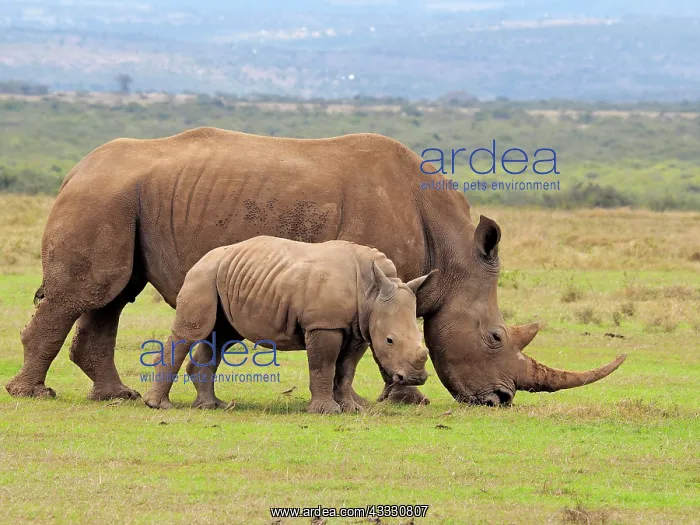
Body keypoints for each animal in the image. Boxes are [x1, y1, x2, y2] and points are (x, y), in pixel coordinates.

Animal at [142, 237, 435, 412]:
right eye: (390, 340)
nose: (416, 378)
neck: (371, 290)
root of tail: (203, 257)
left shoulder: (358, 328)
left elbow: (346, 370)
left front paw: (351, 409)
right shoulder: (323, 324)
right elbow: (323, 365)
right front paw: (326, 411)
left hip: (222, 276)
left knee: (222, 337)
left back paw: (213, 406)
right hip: (203, 274)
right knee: (193, 332)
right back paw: (159, 406)